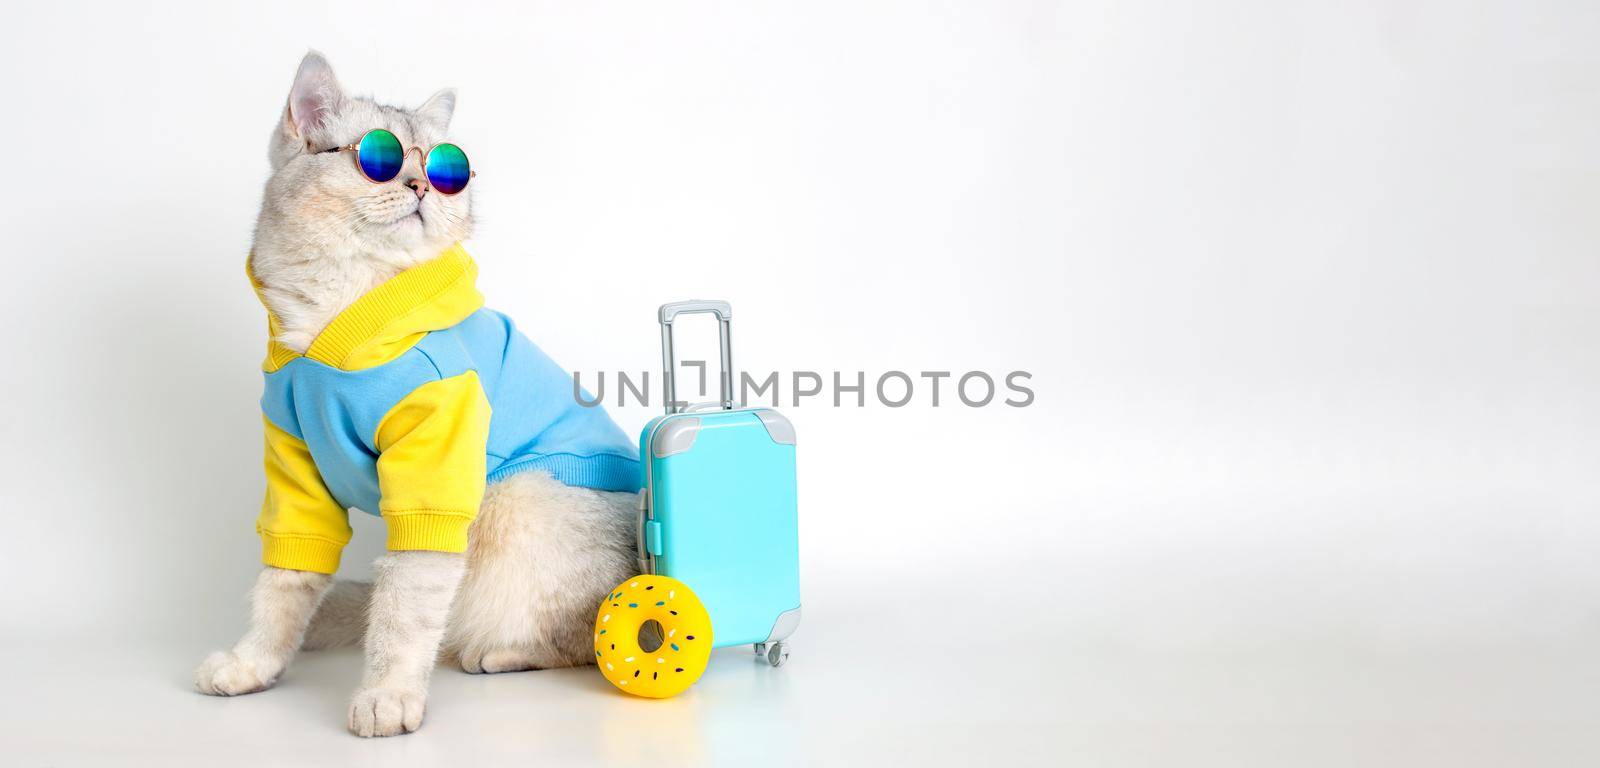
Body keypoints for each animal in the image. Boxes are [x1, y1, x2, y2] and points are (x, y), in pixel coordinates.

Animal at [190, 52, 633, 739]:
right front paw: (252, 664)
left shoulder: (435, 481)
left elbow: (405, 609)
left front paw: (388, 695)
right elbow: (284, 585)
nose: (422, 185)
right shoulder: (294, 476)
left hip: (512, 497)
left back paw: (498, 653)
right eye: (381, 157)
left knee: (587, 635)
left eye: (444, 166)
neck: (334, 320)